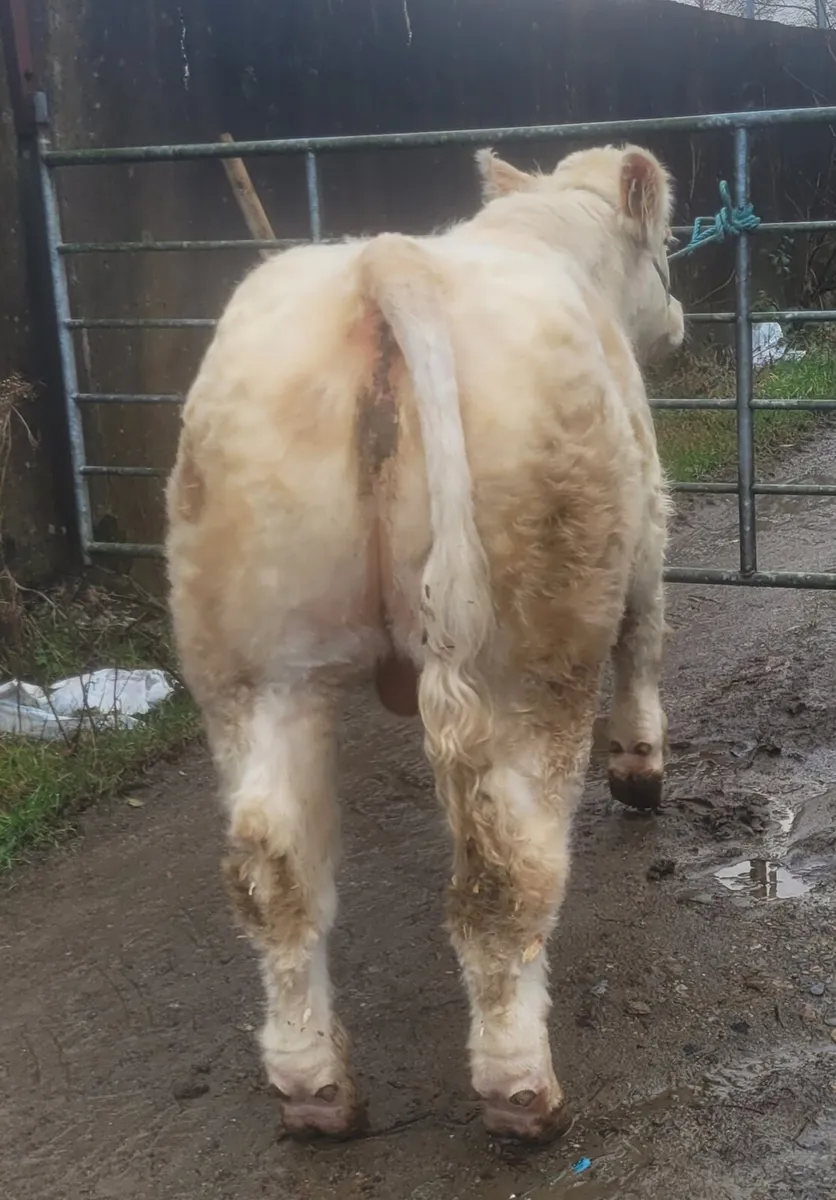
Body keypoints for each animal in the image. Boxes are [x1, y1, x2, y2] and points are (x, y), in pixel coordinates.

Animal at [165, 142, 685, 1145]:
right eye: (666, 254)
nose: (677, 316)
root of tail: (383, 262)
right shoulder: (645, 527)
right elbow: (644, 637)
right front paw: (641, 771)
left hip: (256, 663)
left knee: (273, 868)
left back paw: (315, 1090)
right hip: (532, 651)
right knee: (506, 873)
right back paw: (520, 1093)